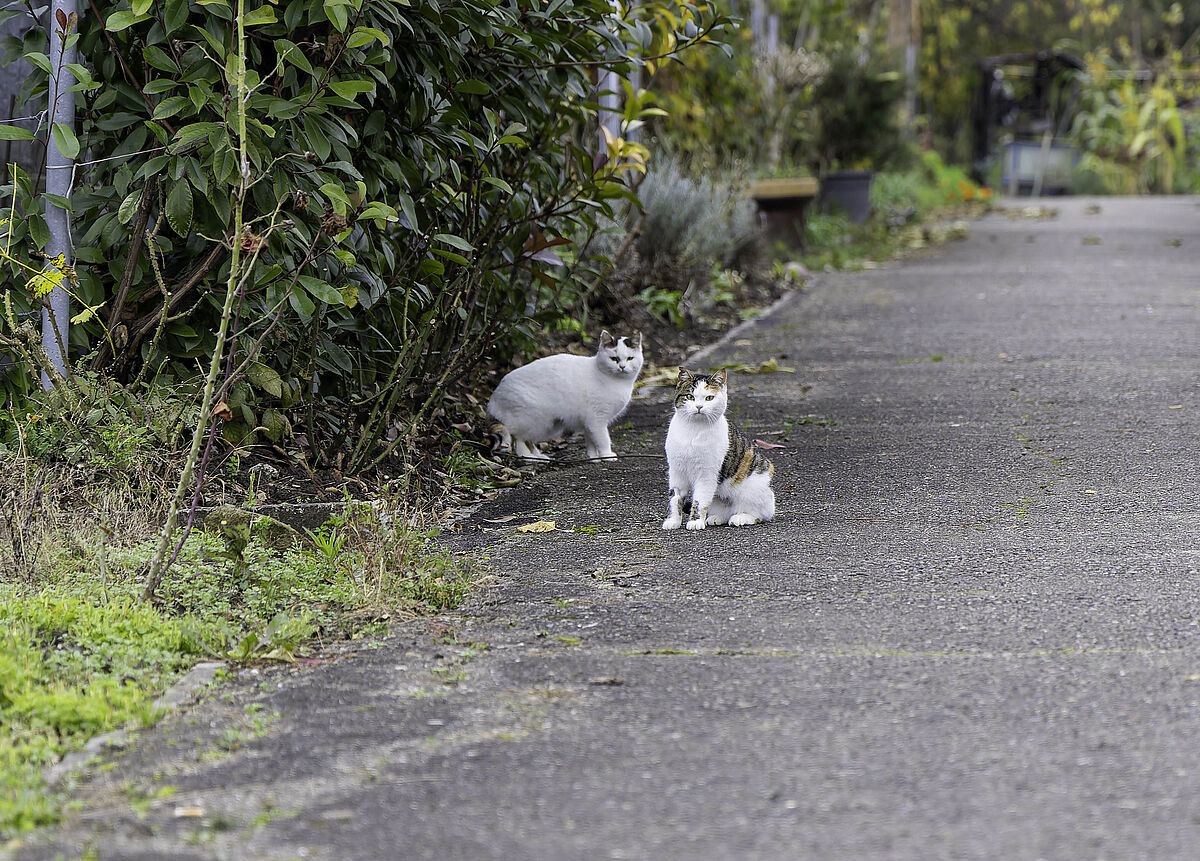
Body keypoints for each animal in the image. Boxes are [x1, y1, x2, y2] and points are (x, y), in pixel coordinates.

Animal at [484, 330, 643, 462]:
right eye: (614, 359)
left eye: (630, 358)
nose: (622, 367)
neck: (616, 382)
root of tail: (494, 397)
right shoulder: (597, 420)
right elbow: (603, 439)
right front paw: (607, 455)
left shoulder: (589, 423)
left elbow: (591, 441)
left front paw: (594, 458)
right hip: (534, 420)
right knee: (518, 438)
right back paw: (529, 457)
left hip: (549, 424)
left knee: (526, 439)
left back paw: (540, 457)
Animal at [662, 366, 772, 530]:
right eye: (690, 396)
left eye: (709, 398)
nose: (699, 407)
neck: (693, 431)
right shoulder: (676, 471)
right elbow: (675, 498)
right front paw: (673, 520)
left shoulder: (707, 474)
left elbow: (699, 500)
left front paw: (695, 521)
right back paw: (716, 518)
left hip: (754, 488)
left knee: (760, 514)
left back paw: (741, 517)